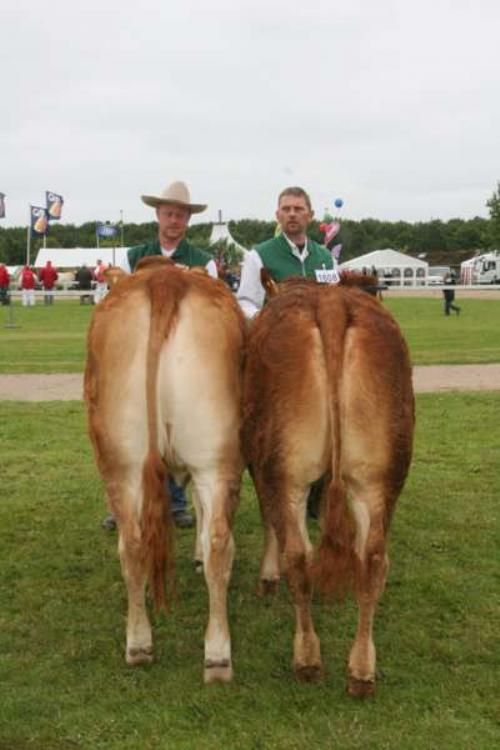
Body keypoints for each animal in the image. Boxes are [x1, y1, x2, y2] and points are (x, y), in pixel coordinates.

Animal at [85, 262, 246, 684]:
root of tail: (165, 279)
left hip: (126, 462)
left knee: (135, 544)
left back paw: (147, 645)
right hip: (210, 459)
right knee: (211, 541)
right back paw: (210, 653)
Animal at [242, 274, 414, 700]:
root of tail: (331, 302)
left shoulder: (258, 465)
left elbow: (269, 519)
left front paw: (267, 578)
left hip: (284, 467)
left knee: (298, 555)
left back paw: (307, 660)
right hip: (379, 475)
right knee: (372, 558)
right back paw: (361, 671)